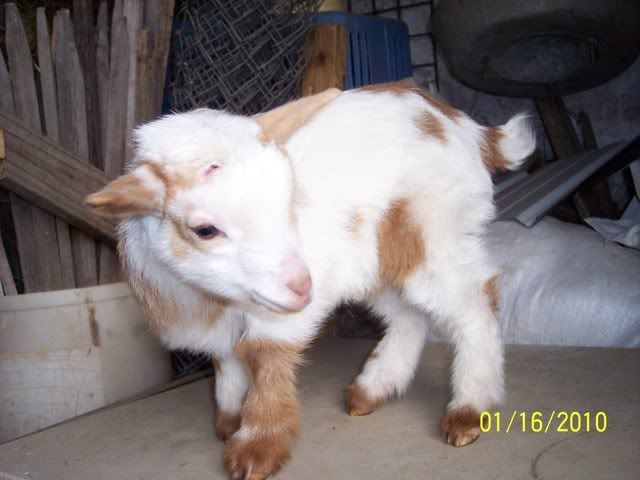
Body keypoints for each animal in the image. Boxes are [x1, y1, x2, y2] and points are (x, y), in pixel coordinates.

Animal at [86, 80, 535, 480]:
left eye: (288, 197)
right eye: (205, 230)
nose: (304, 287)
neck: (213, 299)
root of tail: (467, 128)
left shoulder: (276, 315)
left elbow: (264, 358)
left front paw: (256, 449)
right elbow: (227, 361)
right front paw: (229, 421)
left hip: (433, 232)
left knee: (474, 302)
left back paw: (468, 412)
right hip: (377, 260)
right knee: (409, 315)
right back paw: (372, 390)